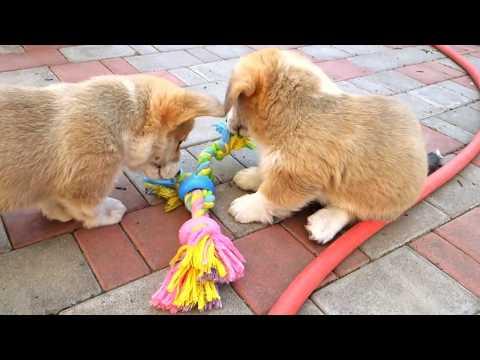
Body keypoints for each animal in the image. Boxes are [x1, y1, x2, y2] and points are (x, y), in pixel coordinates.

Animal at [0, 74, 225, 228]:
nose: (178, 173)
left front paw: (57, 212)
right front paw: (110, 213)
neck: (117, 123)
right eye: (180, 142)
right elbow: (91, 209)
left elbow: (49, 198)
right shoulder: (86, 186)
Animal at [224, 48, 428, 245]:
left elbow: (271, 195)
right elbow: (266, 171)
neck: (295, 110)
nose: (226, 120)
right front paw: (250, 177)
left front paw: (245, 207)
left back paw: (324, 223)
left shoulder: (297, 176)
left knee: (350, 211)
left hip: (371, 199)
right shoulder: (281, 163)